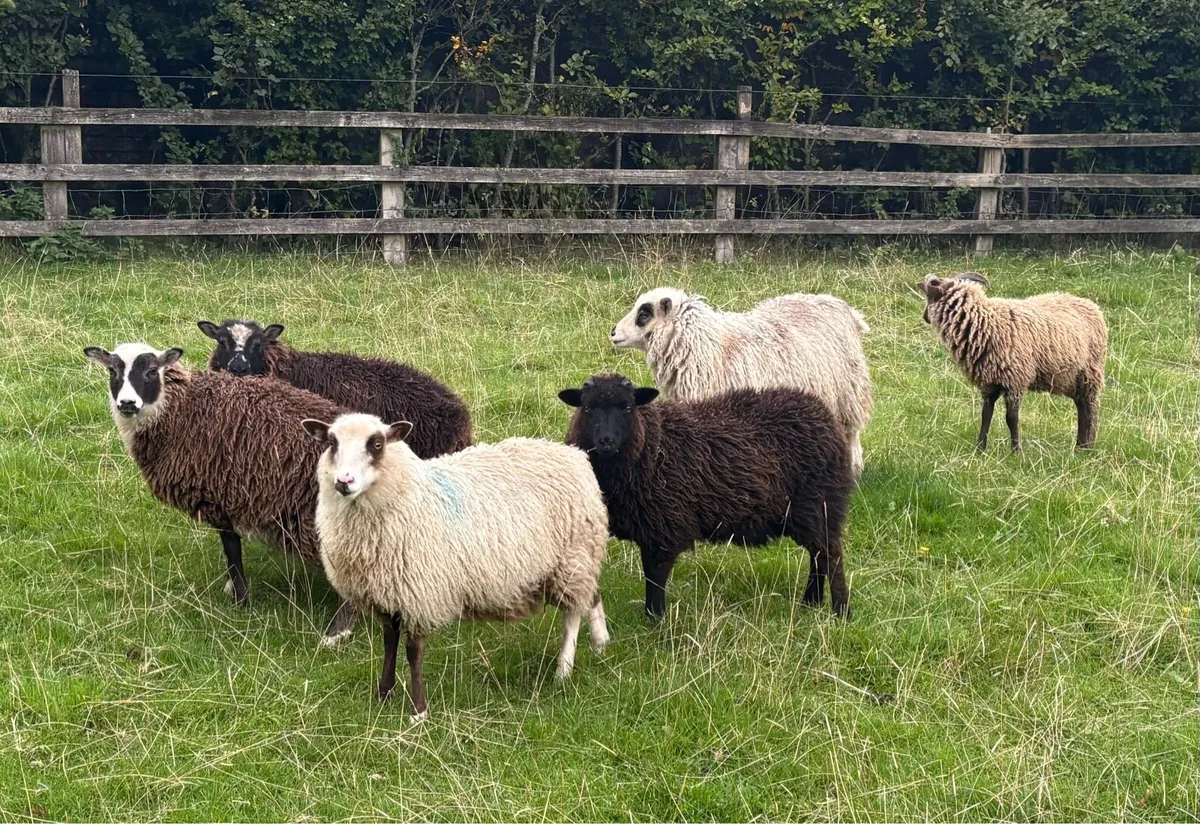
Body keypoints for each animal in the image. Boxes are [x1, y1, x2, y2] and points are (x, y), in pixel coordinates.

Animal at [83, 342, 362, 645]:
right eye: (113, 371)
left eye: (151, 371)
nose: (126, 404)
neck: (180, 409)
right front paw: (235, 591)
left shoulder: (217, 496)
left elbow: (231, 548)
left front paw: (241, 599)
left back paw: (337, 632)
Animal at [301, 412, 610, 718]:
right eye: (332, 443)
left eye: (377, 444)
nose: (344, 481)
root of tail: (573, 455)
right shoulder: (386, 596)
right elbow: (389, 643)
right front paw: (384, 695)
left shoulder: (421, 596)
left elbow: (413, 652)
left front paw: (418, 712)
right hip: (580, 558)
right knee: (592, 594)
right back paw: (601, 642)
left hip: (573, 558)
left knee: (573, 615)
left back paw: (563, 670)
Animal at [560, 373, 854, 621]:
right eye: (587, 408)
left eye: (628, 407)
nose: (606, 441)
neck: (652, 447)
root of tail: (825, 416)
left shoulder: (664, 529)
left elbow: (655, 579)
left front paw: (655, 621)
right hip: (813, 512)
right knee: (818, 555)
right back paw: (810, 603)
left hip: (818, 504)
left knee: (831, 555)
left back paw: (841, 611)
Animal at [610, 288, 873, 476]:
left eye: (644, 314)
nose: (612, 332)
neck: (706, 345)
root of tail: (841, 305)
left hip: (848, 394)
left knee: (851, 434)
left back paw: (852, 471)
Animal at [917, 272, 1107, 451]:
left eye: (928, 294)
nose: (925, 317)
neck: (985, 321)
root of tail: (1093, 307)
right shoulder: (989, 383)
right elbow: (986, 415)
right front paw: (980, 449)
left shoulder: (1015, 380)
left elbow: (1011, 418)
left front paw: (1016, 451)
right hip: (1074, 379)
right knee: (1082, 407)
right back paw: (1080, 447)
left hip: (1090, 374)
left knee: (1091, 410)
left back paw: (1087, 448)